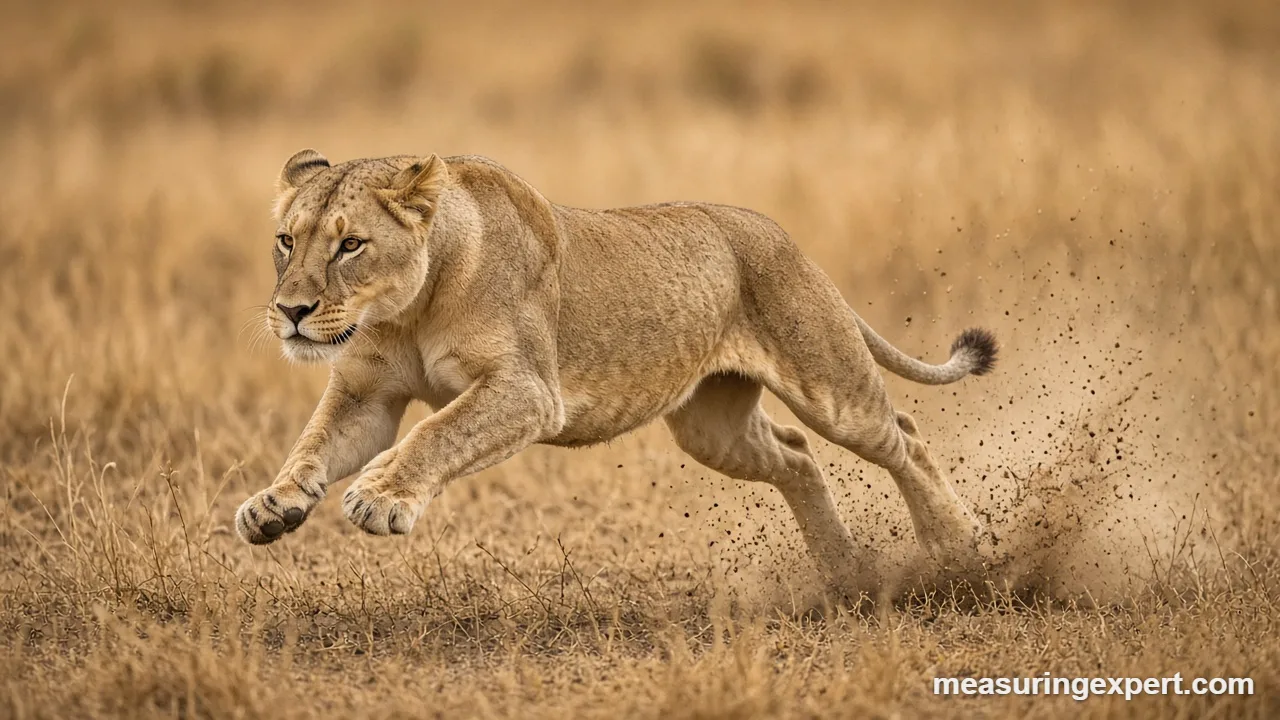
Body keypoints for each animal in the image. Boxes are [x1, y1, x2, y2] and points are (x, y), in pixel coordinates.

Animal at [235, 150, 998, 593]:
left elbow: (437, 434)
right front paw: (274, 505)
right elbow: (314, 443)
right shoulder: (366, 392)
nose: (292, 312)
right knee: (796, 455)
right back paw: (845, 576)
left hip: (829, 382)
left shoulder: (526, 392)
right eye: (286, 240)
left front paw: (381, 497)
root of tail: (785, 237)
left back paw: (955, 550)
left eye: (351, 246)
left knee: (903, 436)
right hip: (713, 428)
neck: (408, 310)